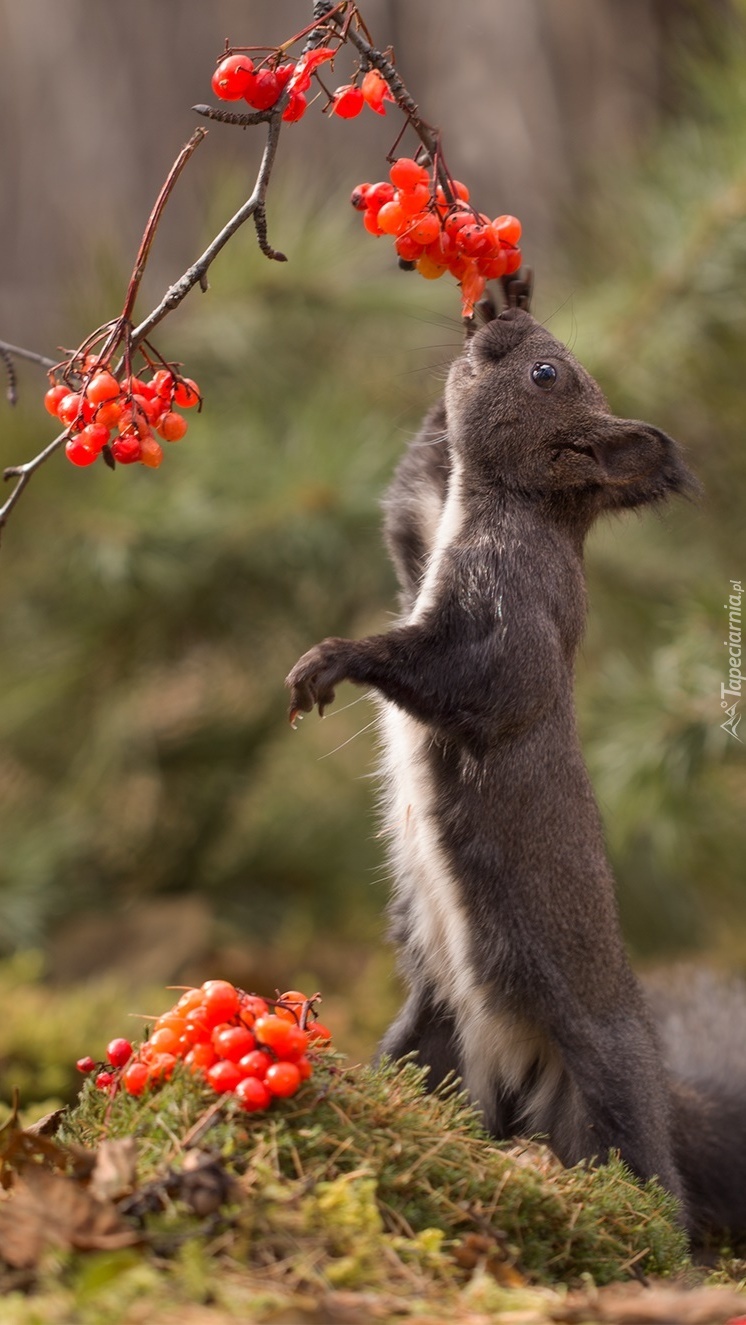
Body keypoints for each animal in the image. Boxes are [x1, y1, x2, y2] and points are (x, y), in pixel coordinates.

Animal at [284, 287, 746, 1240]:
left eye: (545, 374)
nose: (496, 327)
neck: (509, 503)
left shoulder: (516, 611)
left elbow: (475, 680)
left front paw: (337, 658)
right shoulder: (423, 541)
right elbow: (407, 503)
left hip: (605, 1085)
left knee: (651, 1182)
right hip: (428, 1041)